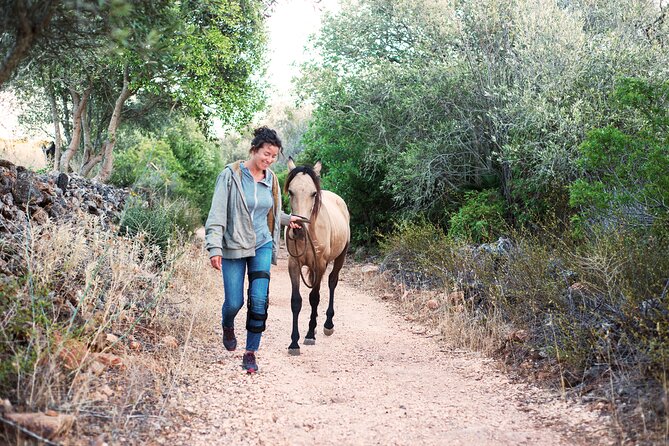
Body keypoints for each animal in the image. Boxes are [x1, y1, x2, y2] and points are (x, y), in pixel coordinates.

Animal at [284, 158, 350, 355]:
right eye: (290, 191)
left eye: (313, 193)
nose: (298, 229)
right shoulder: (294, 264)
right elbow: (296, 301)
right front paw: (294, 342)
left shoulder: (320, 264)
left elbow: (314, 297)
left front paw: (309, 336)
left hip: (340, 257)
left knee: (332, 282)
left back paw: (327, 324)